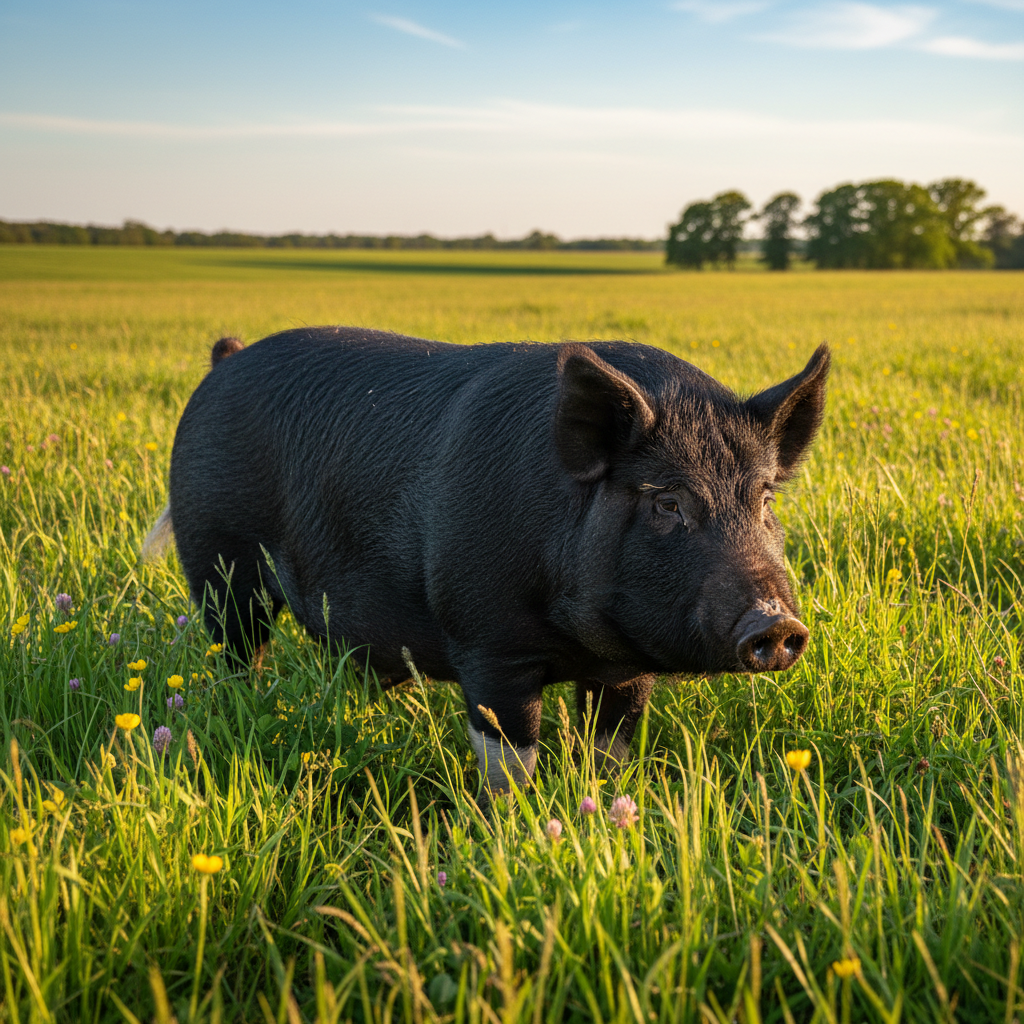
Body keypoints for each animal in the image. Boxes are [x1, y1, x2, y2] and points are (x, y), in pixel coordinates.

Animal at [145, 327, 829, 790]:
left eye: (765, 498)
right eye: (667, 502)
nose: (776, 624)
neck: (579, 641)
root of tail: (226, 359)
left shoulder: (625, 671)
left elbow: (609, 750)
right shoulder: (486, 639)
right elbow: (509, 755)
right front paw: (511, 825)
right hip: (216, 560)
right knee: (236, 647)